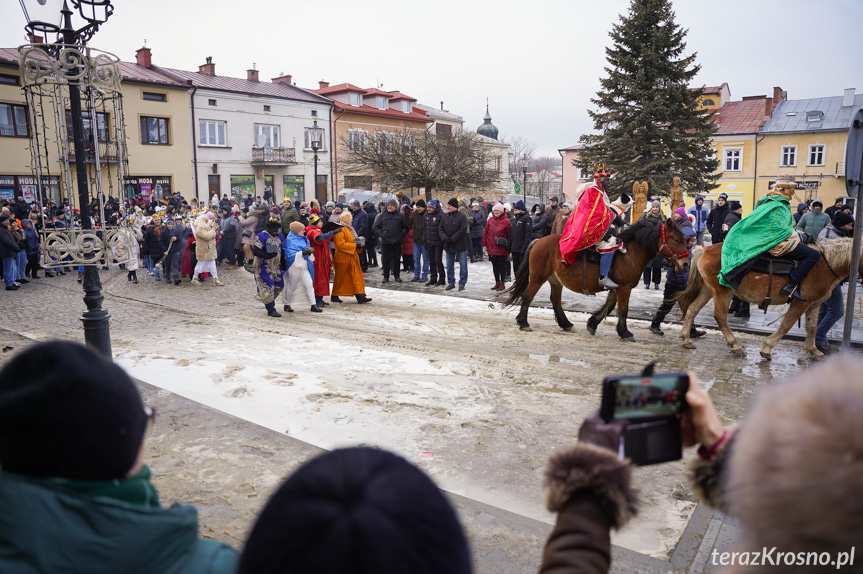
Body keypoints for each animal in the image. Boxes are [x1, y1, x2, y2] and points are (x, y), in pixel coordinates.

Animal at [502, 218, 692, 340]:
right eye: (676, 240)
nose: (685, 264)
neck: (630, 253)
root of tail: (539, 241)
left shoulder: (616, 287)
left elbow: (609, 306)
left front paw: (592, 324)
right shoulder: (625, 288)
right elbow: (622, 310)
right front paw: (625, 332)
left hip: (555, 280)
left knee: (555, 301)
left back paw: (565, 324)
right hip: (537, 278)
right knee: (528, 297)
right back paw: (524, 322)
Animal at [680, 238, 860, 360]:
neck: (824, 265)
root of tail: (705, 249)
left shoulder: (814, 304)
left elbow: (812, 327)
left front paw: (814, 350)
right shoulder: (801, 303)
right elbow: (786, 325)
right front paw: (767, 348)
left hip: (708, 290)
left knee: (692, 309)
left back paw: (686, 339)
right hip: (722, 291)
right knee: (720, 316)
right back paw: (735, 346)